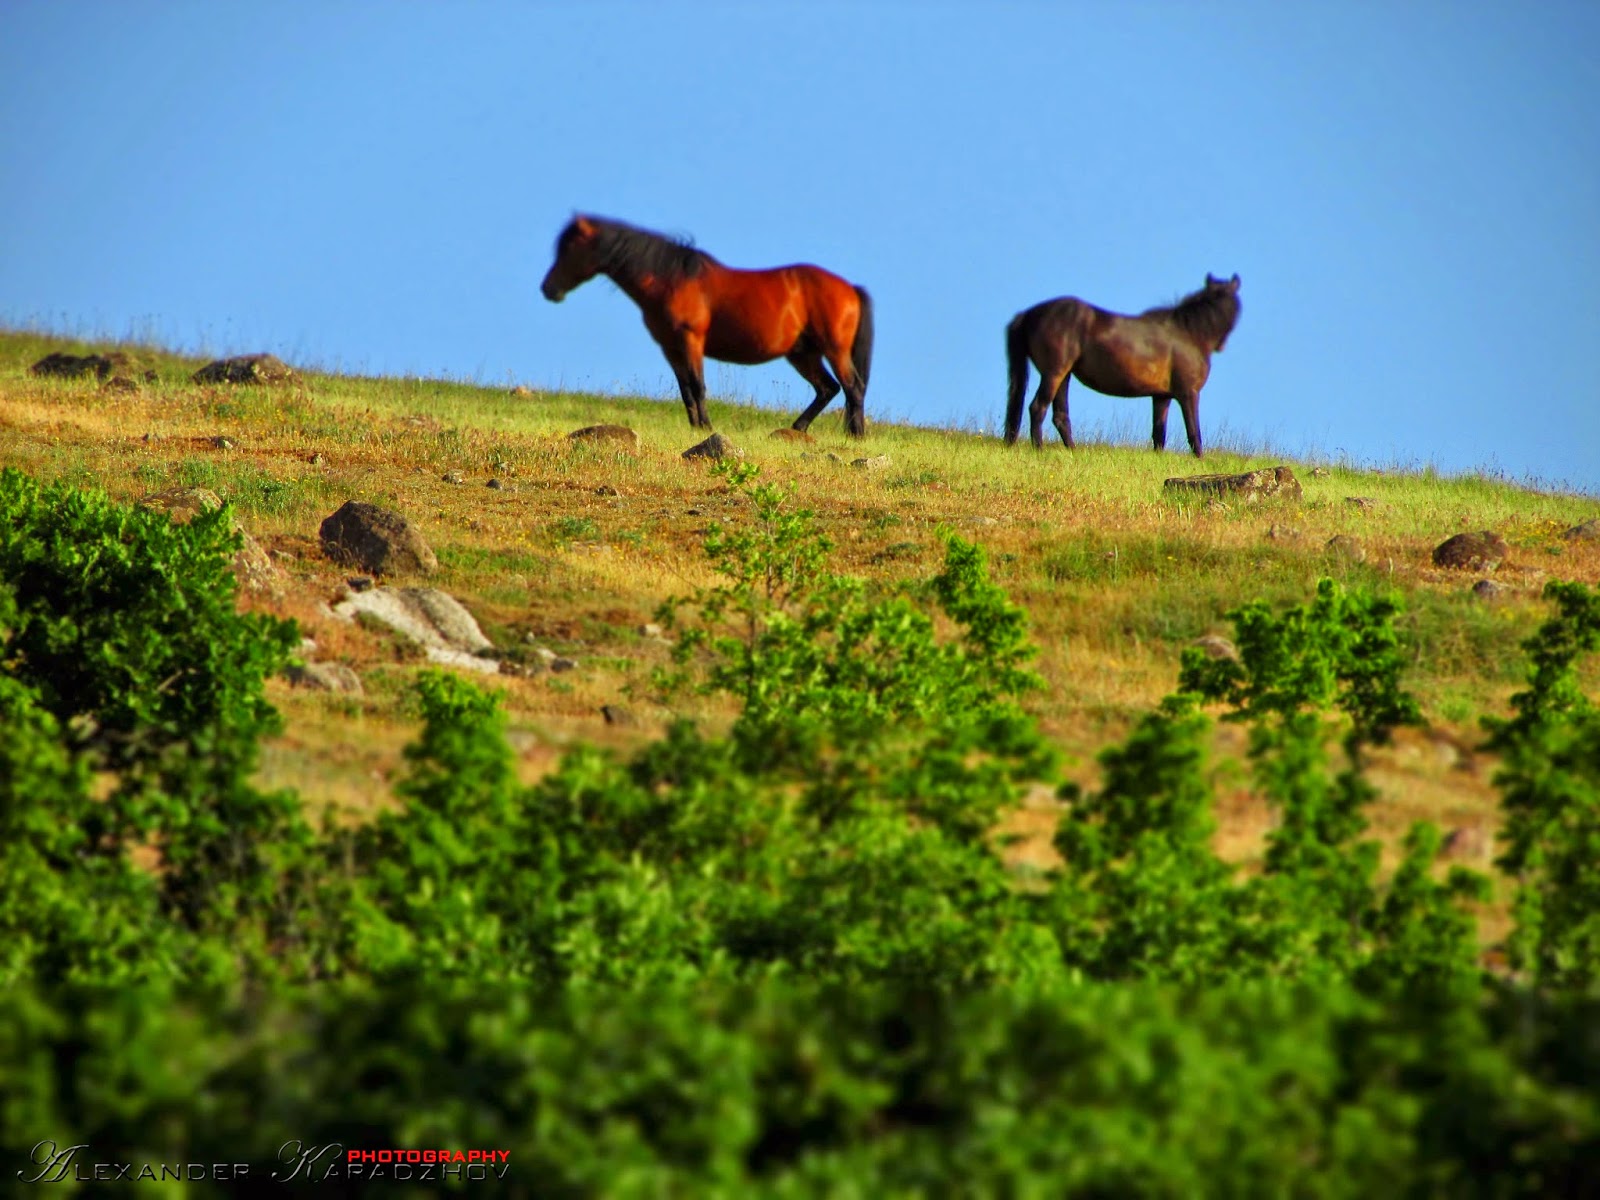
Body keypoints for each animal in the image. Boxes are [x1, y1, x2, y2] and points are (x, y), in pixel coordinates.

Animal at [540, 216, 876, 438]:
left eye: (570, 248)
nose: (548, 289)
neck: (672, 281)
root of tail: (850, 288)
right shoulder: (670, 348)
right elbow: (686, 390)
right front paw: (696, 427)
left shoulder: (691, 341)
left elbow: (698, 385)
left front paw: (707, 427)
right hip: (803, 354)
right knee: (828, 388)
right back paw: (798, 428)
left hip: (833, 349)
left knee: (852, 387)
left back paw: (855, 435)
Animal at [1004, 275, 1241, 457]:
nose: (1222, 345)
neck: (1189, 334)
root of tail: (1028, 314)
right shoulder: (1188, 393)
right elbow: (1194, 433)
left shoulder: (1161, 396)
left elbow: (1159, 434)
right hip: (1054, 373)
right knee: (1038, 407)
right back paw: (1039, 450)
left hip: (1064, 375)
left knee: (1060, 416)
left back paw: (1073, 451)